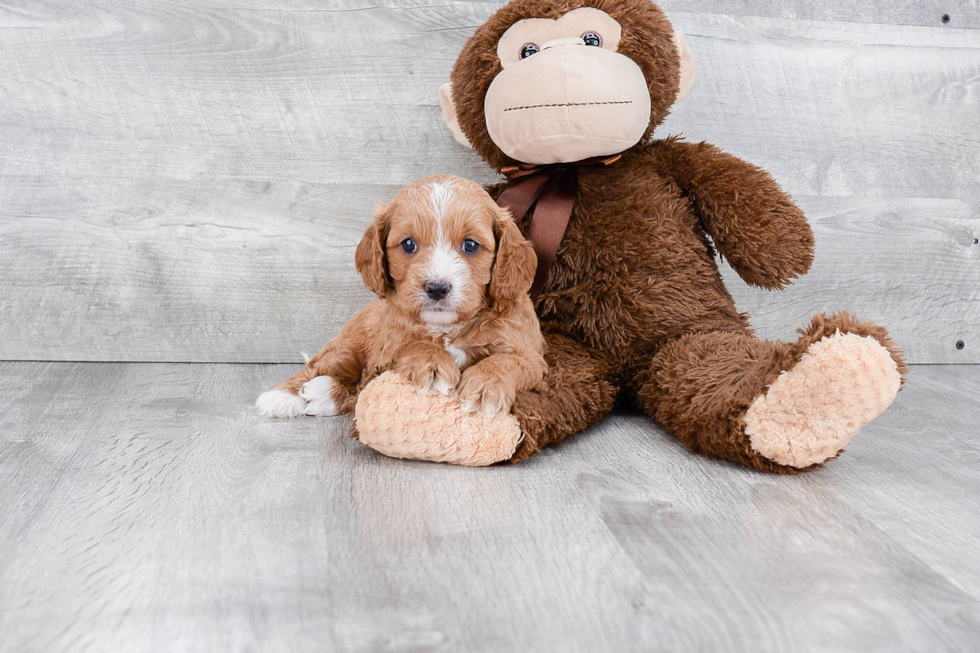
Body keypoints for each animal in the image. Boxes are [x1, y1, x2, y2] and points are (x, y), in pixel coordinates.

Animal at [256, 173, 548, 418]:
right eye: (409, 244)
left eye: (470, 245)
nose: (437, 288)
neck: (448, 327)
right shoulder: (385, 352)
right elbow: (411, 345)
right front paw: (433, 364)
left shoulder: (532, 356)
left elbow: (509, 361)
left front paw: (485, 386)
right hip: (347, 343)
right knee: (322, 366)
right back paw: (283, 395)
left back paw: (322, 394)